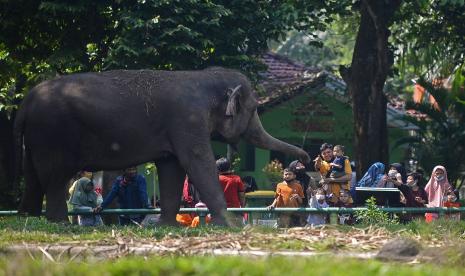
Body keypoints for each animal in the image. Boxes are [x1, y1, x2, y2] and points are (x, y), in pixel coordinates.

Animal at [14, 68, 310, 225]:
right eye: (253, 109)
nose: (305, 160)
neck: (203, 78)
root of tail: (25, 102)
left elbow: (172, 168)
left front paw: (165, 225)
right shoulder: (188, 120)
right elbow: (198, 163)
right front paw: (234, 226)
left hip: (36, 139)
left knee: (33, 177)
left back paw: (28, 218)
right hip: (53, 134)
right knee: (56, 179)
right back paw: (59, 222)